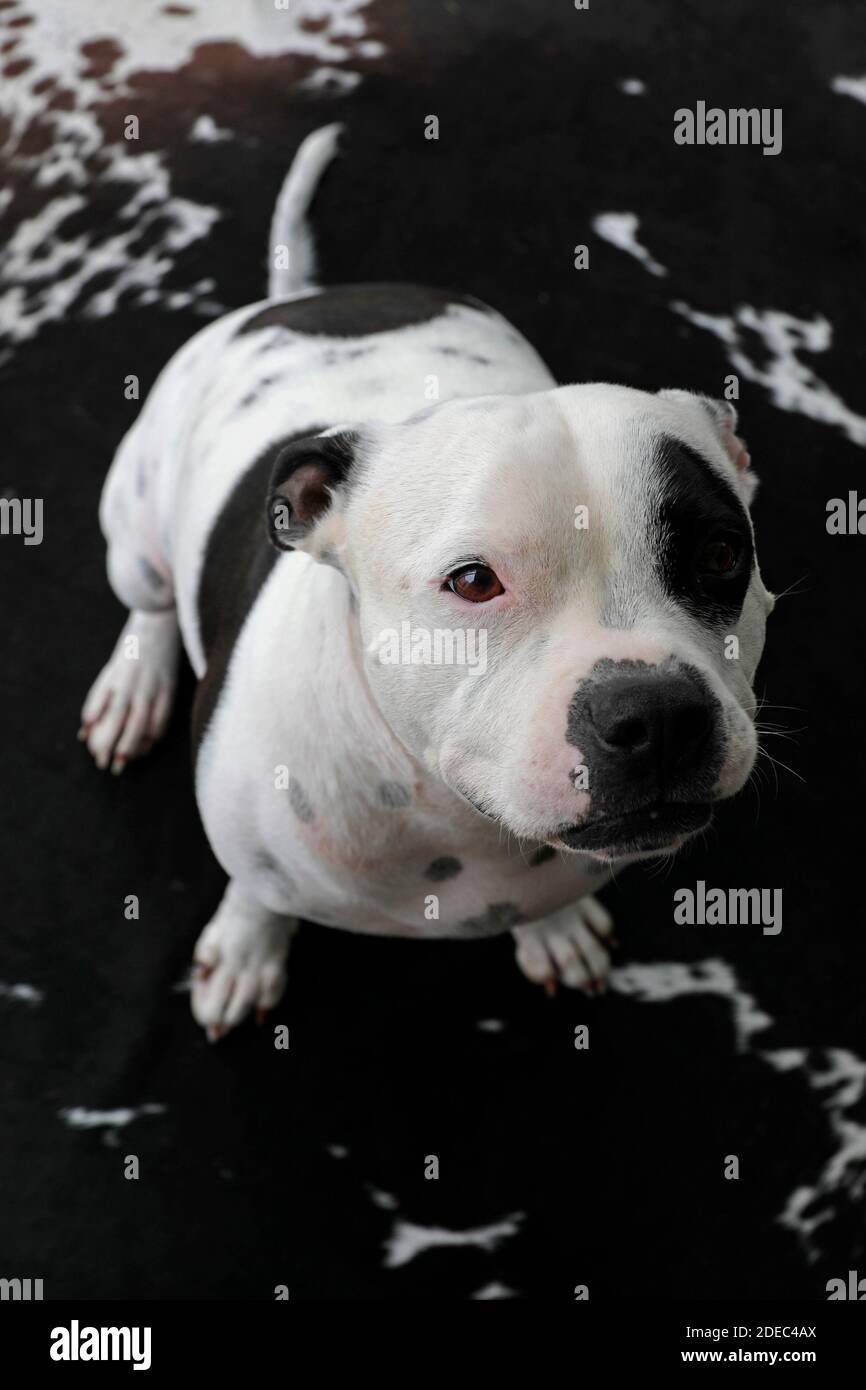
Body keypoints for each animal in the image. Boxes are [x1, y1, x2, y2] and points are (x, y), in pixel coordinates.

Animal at [81, 127, 772, 1034]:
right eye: (474, 582)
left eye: (722, 554)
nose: (656, 714)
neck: (450, 813)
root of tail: (305, 299)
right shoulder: (250, 848)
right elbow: (257, 895)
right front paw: (244, 949)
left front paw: (555, 930)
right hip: (133, 529)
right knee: (150, 600)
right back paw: (134, 687)